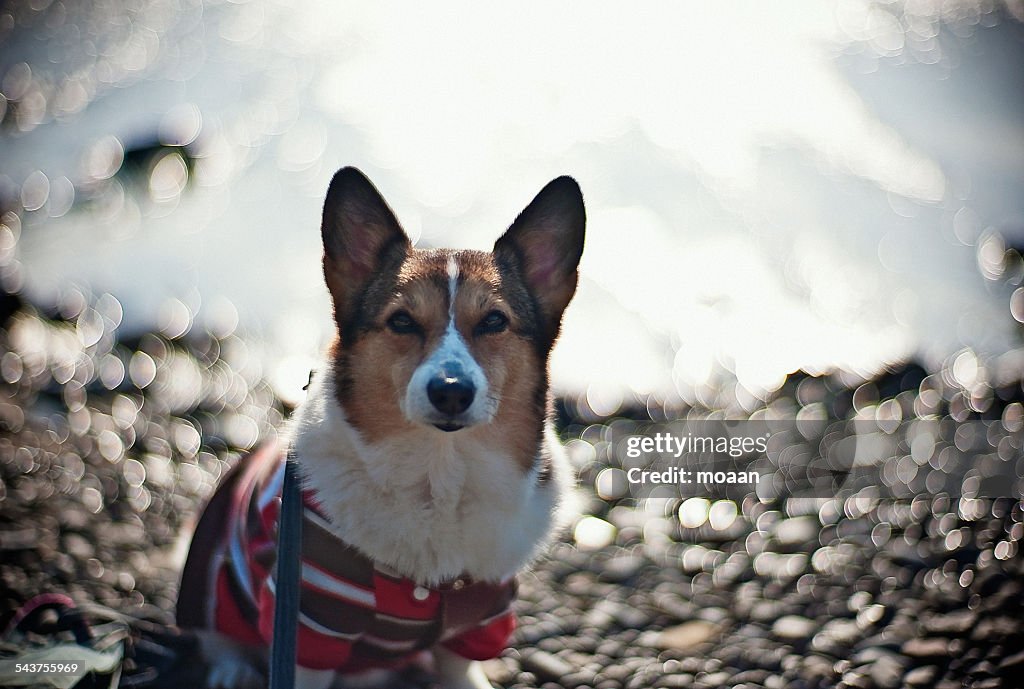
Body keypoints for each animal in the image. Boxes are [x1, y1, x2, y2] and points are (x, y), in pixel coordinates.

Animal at [178, 167, 585, 687]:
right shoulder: (312, 619)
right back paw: (233, 668)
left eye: (494, 320)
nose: (451, 392)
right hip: (213, 569)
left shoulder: (483, 615)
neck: (438, 478)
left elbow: (460, 670)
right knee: (217, 634)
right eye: (403, 321)